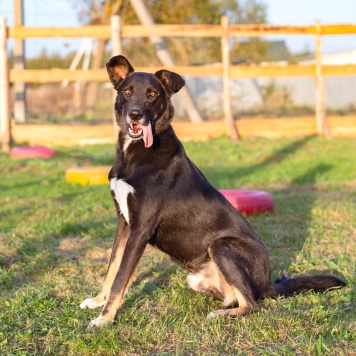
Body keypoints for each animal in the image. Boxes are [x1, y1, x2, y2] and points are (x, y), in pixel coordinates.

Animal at [80, 55, 344, 328]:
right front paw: (98, 302)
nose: (135, 115)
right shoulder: (124, 223)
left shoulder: (140, 229)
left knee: (252, 304)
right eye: (127, 92)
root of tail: (268, 284)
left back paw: (221, 314)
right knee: (236, 297)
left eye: (152, 94)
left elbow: (121, 277)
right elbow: (112, 268)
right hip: (195, 278)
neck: (136, 152)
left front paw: (104, 319)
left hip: (220, 246)